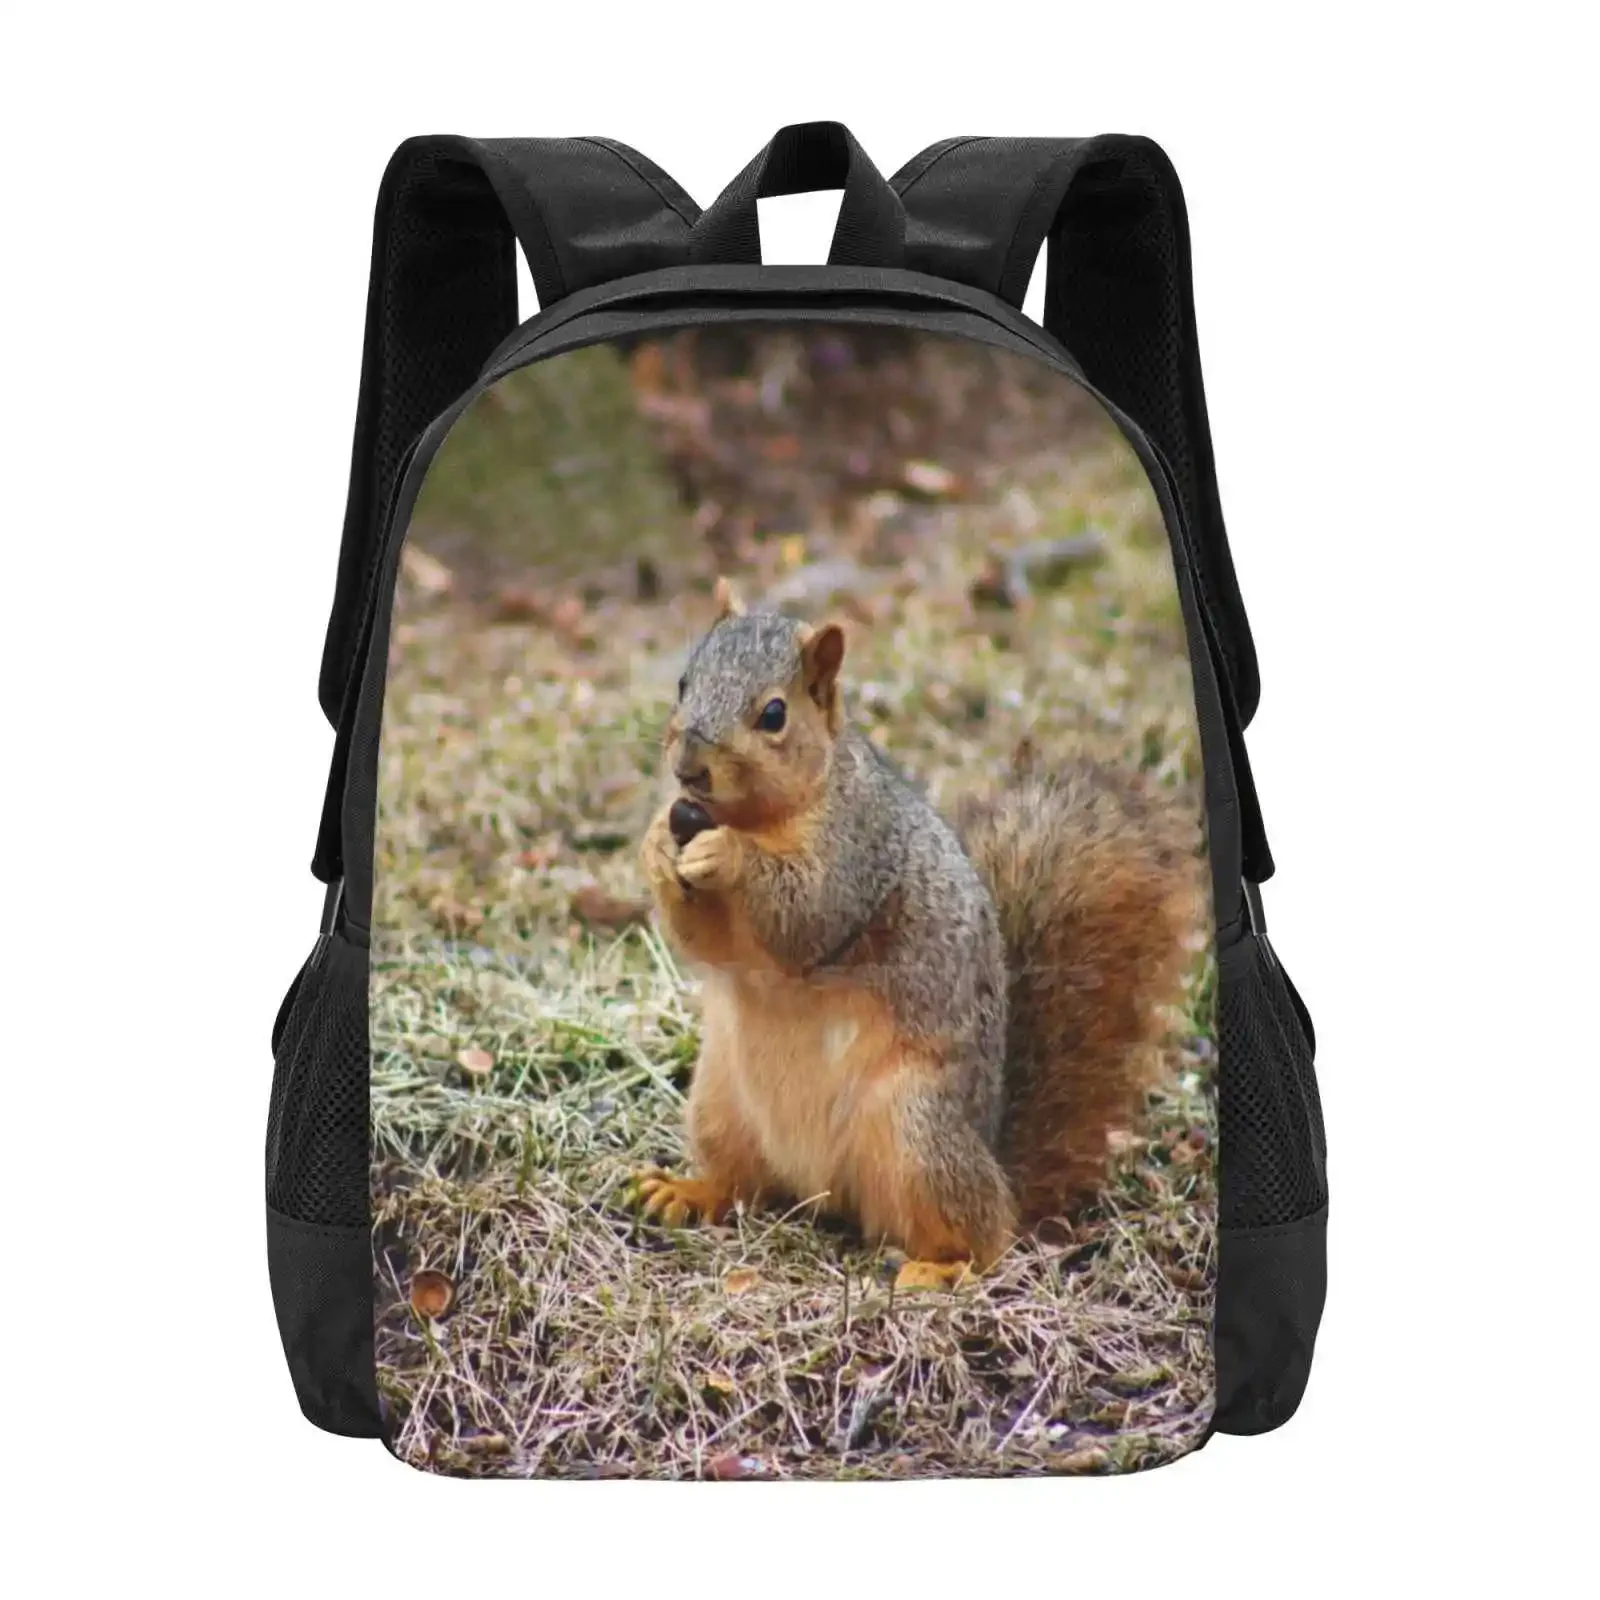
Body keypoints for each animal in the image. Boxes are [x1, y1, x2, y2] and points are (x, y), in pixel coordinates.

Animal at [635, 578, 1200, 1289]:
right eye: (684, 682)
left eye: (773, 715)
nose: (689, 768)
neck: (765, 814)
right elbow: (705, 940)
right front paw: (658, 843)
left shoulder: (859, 850)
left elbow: (807, 913)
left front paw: (729, 855)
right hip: (719, 1102)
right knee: (744, 1184)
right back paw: (689, 1191)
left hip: (916, 1130)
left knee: (985, 1235)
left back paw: (941, 1267)